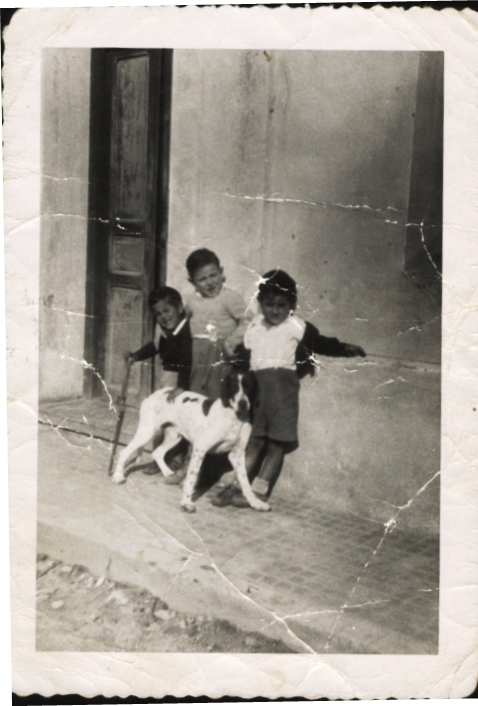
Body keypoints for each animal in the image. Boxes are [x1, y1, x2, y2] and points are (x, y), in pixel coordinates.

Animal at [111, 369, 270, 513]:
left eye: (249, 386)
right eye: (234, 387)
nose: (243, 403)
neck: (234, 417)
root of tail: (153, 394)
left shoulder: (237, 454)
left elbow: (245, 483)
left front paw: (256, 503)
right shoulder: (200, 449)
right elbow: (192, 478)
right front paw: (186, 503)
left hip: (174, 436)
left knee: (157, 452)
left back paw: (168, 474)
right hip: (147, 431)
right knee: (124, 451)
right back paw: (118, 476)